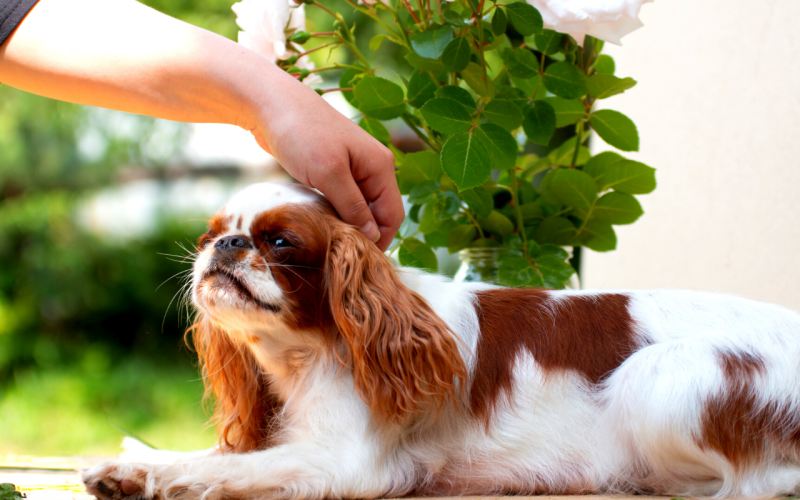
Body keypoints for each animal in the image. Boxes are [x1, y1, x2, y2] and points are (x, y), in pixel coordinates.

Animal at [81, 182, 800, 498]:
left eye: (280, 242)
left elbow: (221, 469)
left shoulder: (345, 462)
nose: (226, 245)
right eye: (211, 235)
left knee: (760, 484)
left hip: (659, 375)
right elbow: (217, 455)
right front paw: (134, 462)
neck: (309, 352)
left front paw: (140, 471)